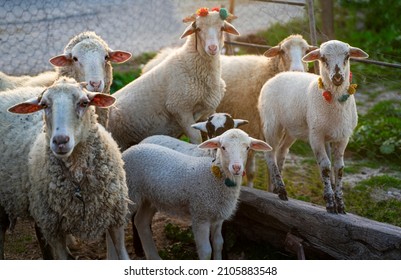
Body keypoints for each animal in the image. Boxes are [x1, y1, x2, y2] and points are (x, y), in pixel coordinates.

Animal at [1, 77, 130, 260]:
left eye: (84, 103)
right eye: (44, 105)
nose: (60, 141)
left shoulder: (116, 215)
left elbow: (122, 253)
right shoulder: (53, 230)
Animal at [105, 7, 238, 151]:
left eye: (221, 28)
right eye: (198, 29)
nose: (212, 48)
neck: (191, 63)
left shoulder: (209, 110)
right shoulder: (179, 107)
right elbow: (196, 138)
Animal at [122, 129, 272, 260]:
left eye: (247, 148)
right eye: (223, 147)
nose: (236, 167)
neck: (214, 176)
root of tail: (131, 148)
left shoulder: (218, 216)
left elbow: (218, 244)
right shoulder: (201, 215)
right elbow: (206, 251)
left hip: (149, 197)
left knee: (140, 221)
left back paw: (154, 257)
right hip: (130, 192)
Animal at [258, 39, 368, 213]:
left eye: (347, 56)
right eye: (323, 58)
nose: (338, 77)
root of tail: (279, 75)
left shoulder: (343, 137)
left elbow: (339, 168)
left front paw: (340, 205)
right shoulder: (316, 136)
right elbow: (325, 167)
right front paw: (330, 203)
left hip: (293, 128)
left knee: (281, 152)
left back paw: (277, 187)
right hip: (271, 123)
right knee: (270, 154)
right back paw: (281, 190)